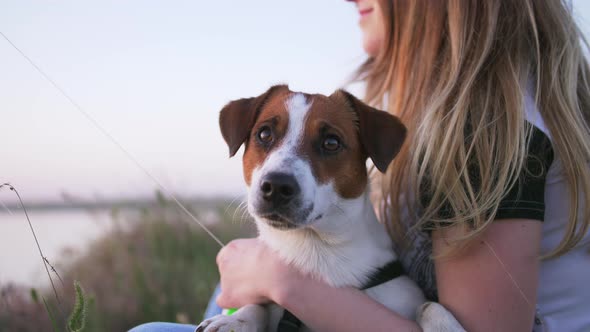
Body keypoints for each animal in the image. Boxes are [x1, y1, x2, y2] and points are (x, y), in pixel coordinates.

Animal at [199, 85, 468, 332]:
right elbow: (258, 305)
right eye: (264, 134)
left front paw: (445, 325)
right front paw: (236, 319)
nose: (276, 186)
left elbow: (428, 306)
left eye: (331, 142)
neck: (317, 249)